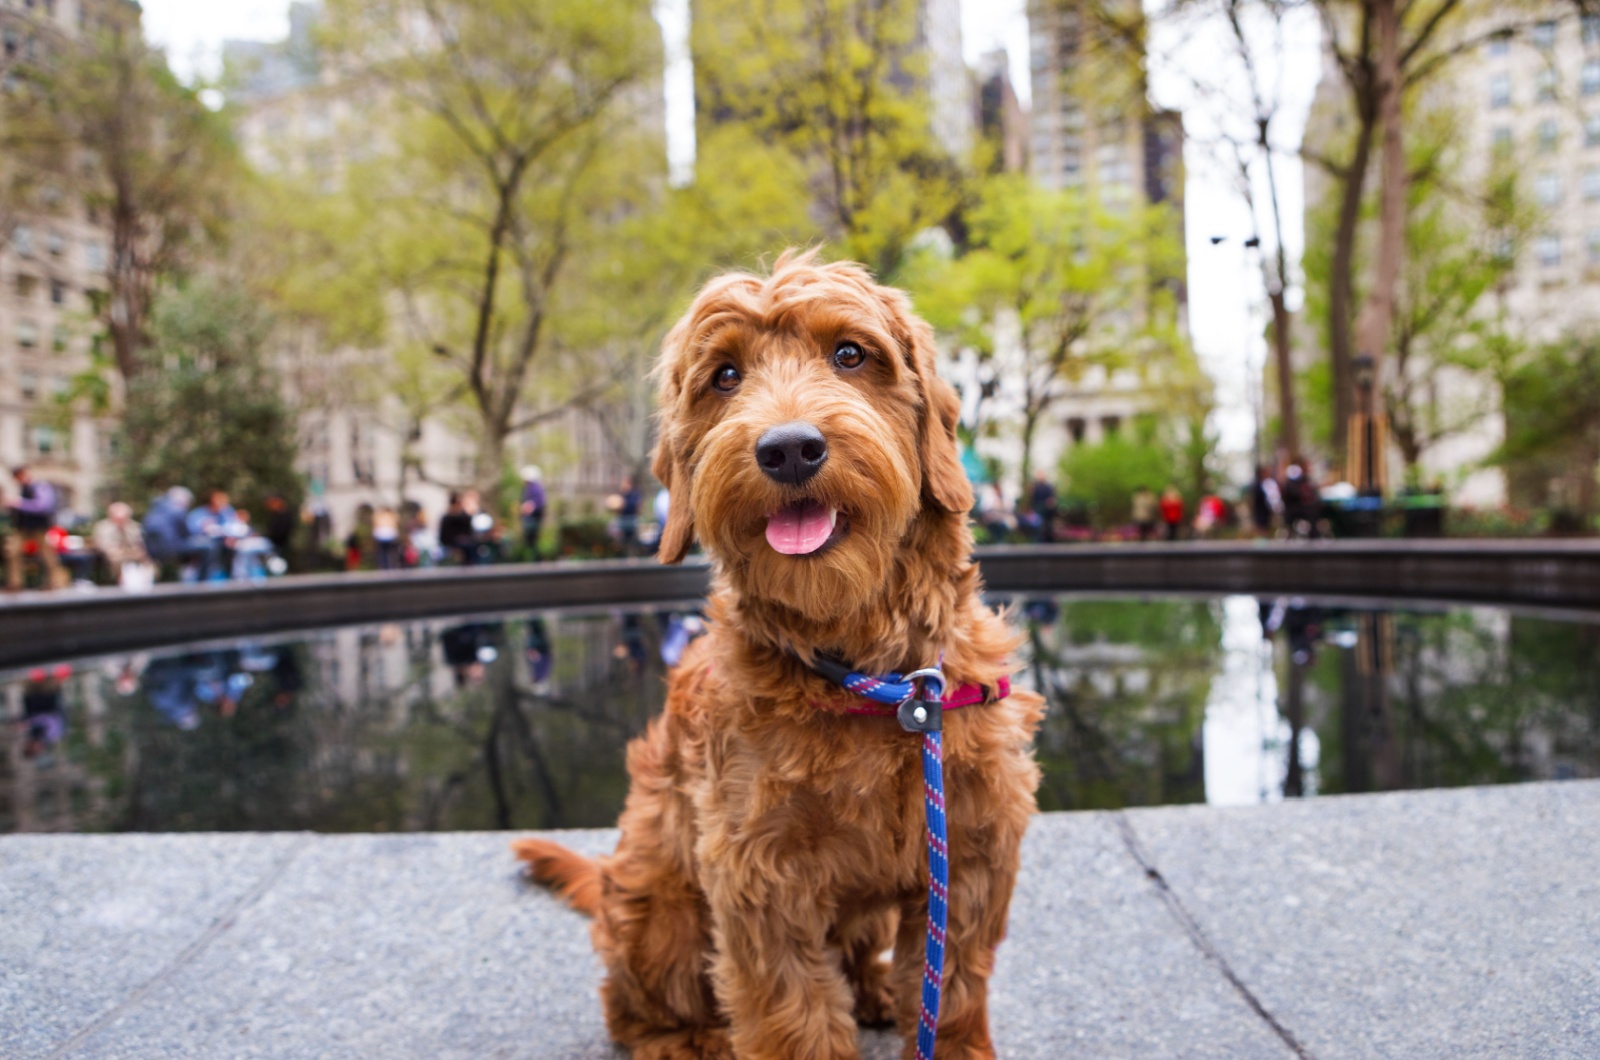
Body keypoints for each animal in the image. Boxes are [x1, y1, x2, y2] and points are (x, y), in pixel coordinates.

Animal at [508, 251, 1036, 1060]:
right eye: (725, 376)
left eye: (850, 354)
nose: (788, 448)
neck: (870, 675)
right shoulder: (760, 872)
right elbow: (794, 1011)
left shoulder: (972, 852)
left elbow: (951, 992)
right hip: (660, 905)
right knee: (633, 1005)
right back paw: (688, 1040)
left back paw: (874, 989)